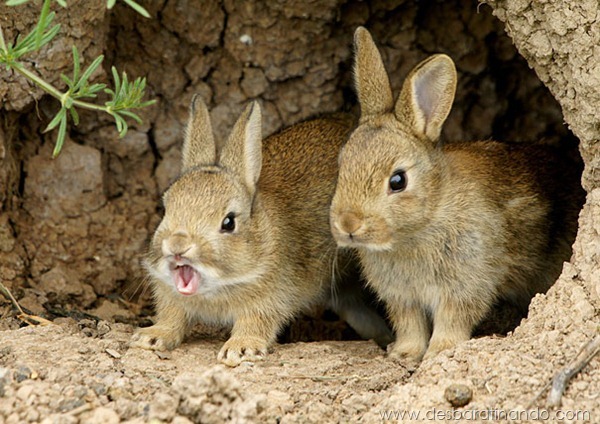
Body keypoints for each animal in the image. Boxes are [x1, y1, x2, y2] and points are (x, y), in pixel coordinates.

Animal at [132, 95, 394, 364]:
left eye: (229, 222)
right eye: (165, 209)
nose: (177, 245)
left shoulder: (269, 298)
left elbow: (255, 323)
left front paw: (240, 349)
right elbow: (172, 317)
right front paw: (151, 337)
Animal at [330, 26, 584, 362]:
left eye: (397, 181)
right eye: (341, 164)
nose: (348, 224)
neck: (425, 221)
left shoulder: (466, 283)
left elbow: (453, 318)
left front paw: (440, 351)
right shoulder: (402, 297)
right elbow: (410, 324)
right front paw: (405, 354)